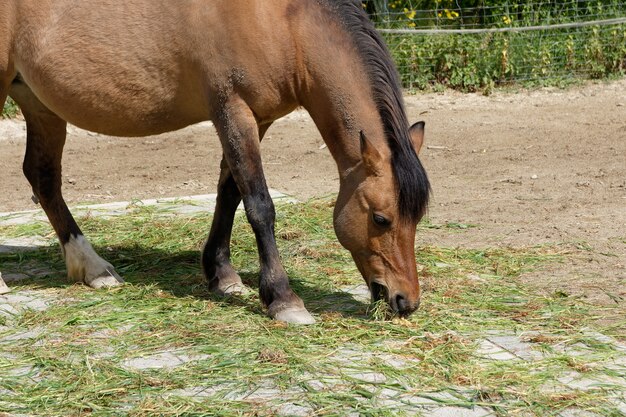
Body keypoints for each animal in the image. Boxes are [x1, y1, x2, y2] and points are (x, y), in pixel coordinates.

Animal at [0, 0, 426, 322]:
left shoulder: (258, 118)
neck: (282, 21)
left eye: (417, 217)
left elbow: (230, 192)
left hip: (38, 104)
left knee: (43, 178)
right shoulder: (232, 110)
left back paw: (93, 268)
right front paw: (282, 299)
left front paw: (221, 275)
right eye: (381, 218)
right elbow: (259, 204)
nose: (406, 301)